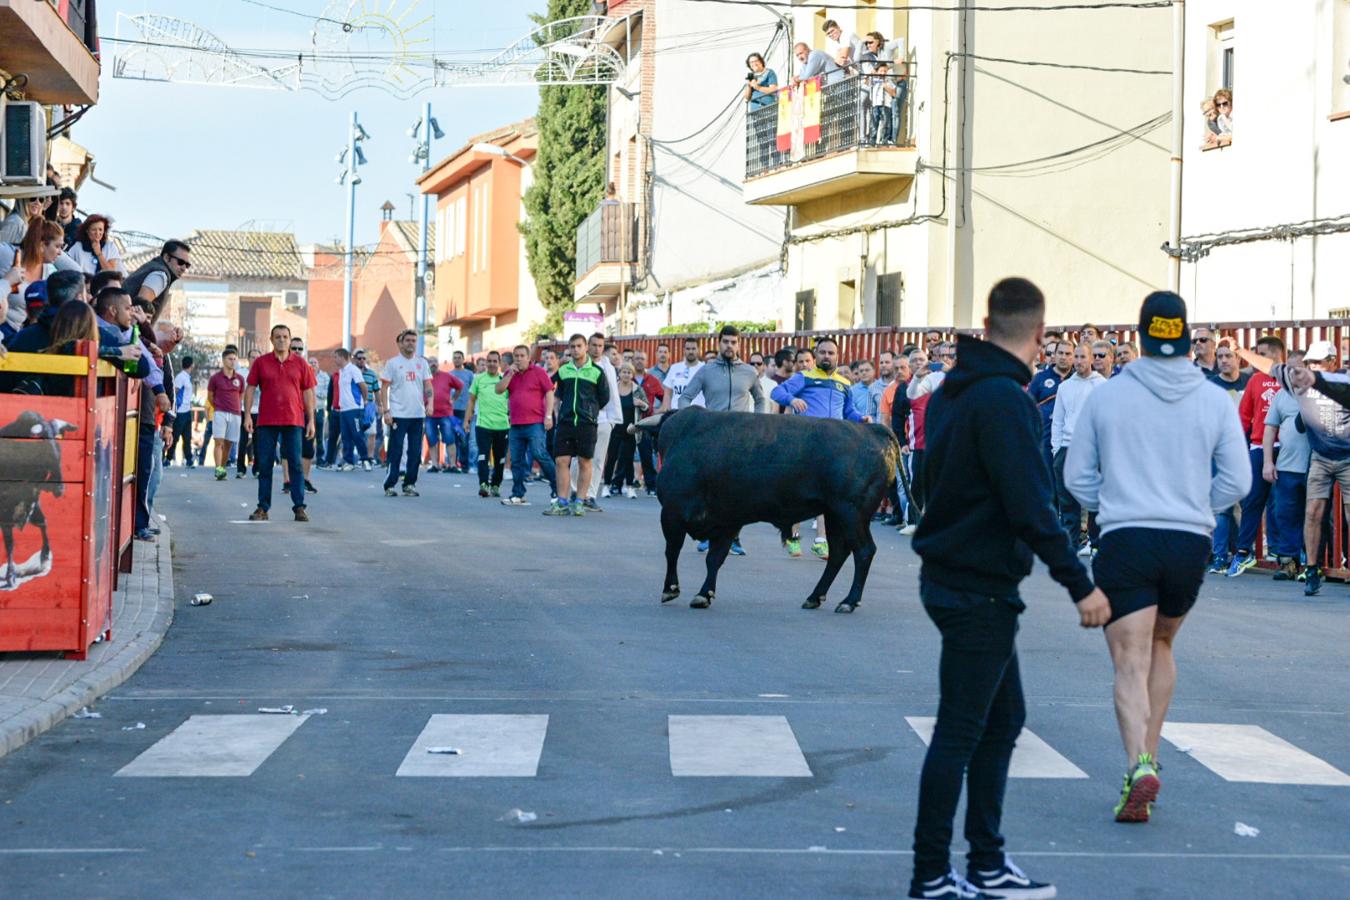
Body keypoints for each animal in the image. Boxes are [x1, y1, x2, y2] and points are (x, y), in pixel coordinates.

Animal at [637, 410, 901, 615]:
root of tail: (873, 430)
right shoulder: (727, 521)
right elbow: (714, 558)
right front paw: (704, 594)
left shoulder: (672, 514)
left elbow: (672, 552)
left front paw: (670, 589)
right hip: (835, 515)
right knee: (839, 553)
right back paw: (814, 597)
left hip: (851, 514)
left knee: (864, 551)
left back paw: (848, 602)